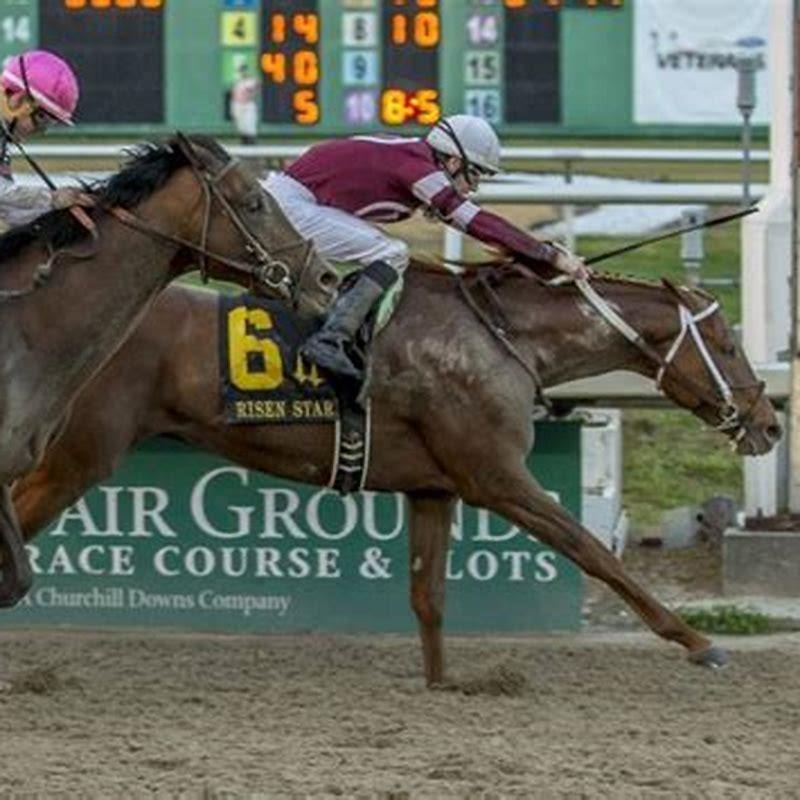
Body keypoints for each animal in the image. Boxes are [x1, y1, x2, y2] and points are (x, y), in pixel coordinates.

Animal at [10, 266, 780, 685]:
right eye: (726, 343)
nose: (769, 422)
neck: (501, 340)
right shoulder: (497, 477)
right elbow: (595, 554)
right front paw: (698, 642)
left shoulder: (433, 488)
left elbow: (428, 596)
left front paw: (444, 684)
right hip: (79, 455)